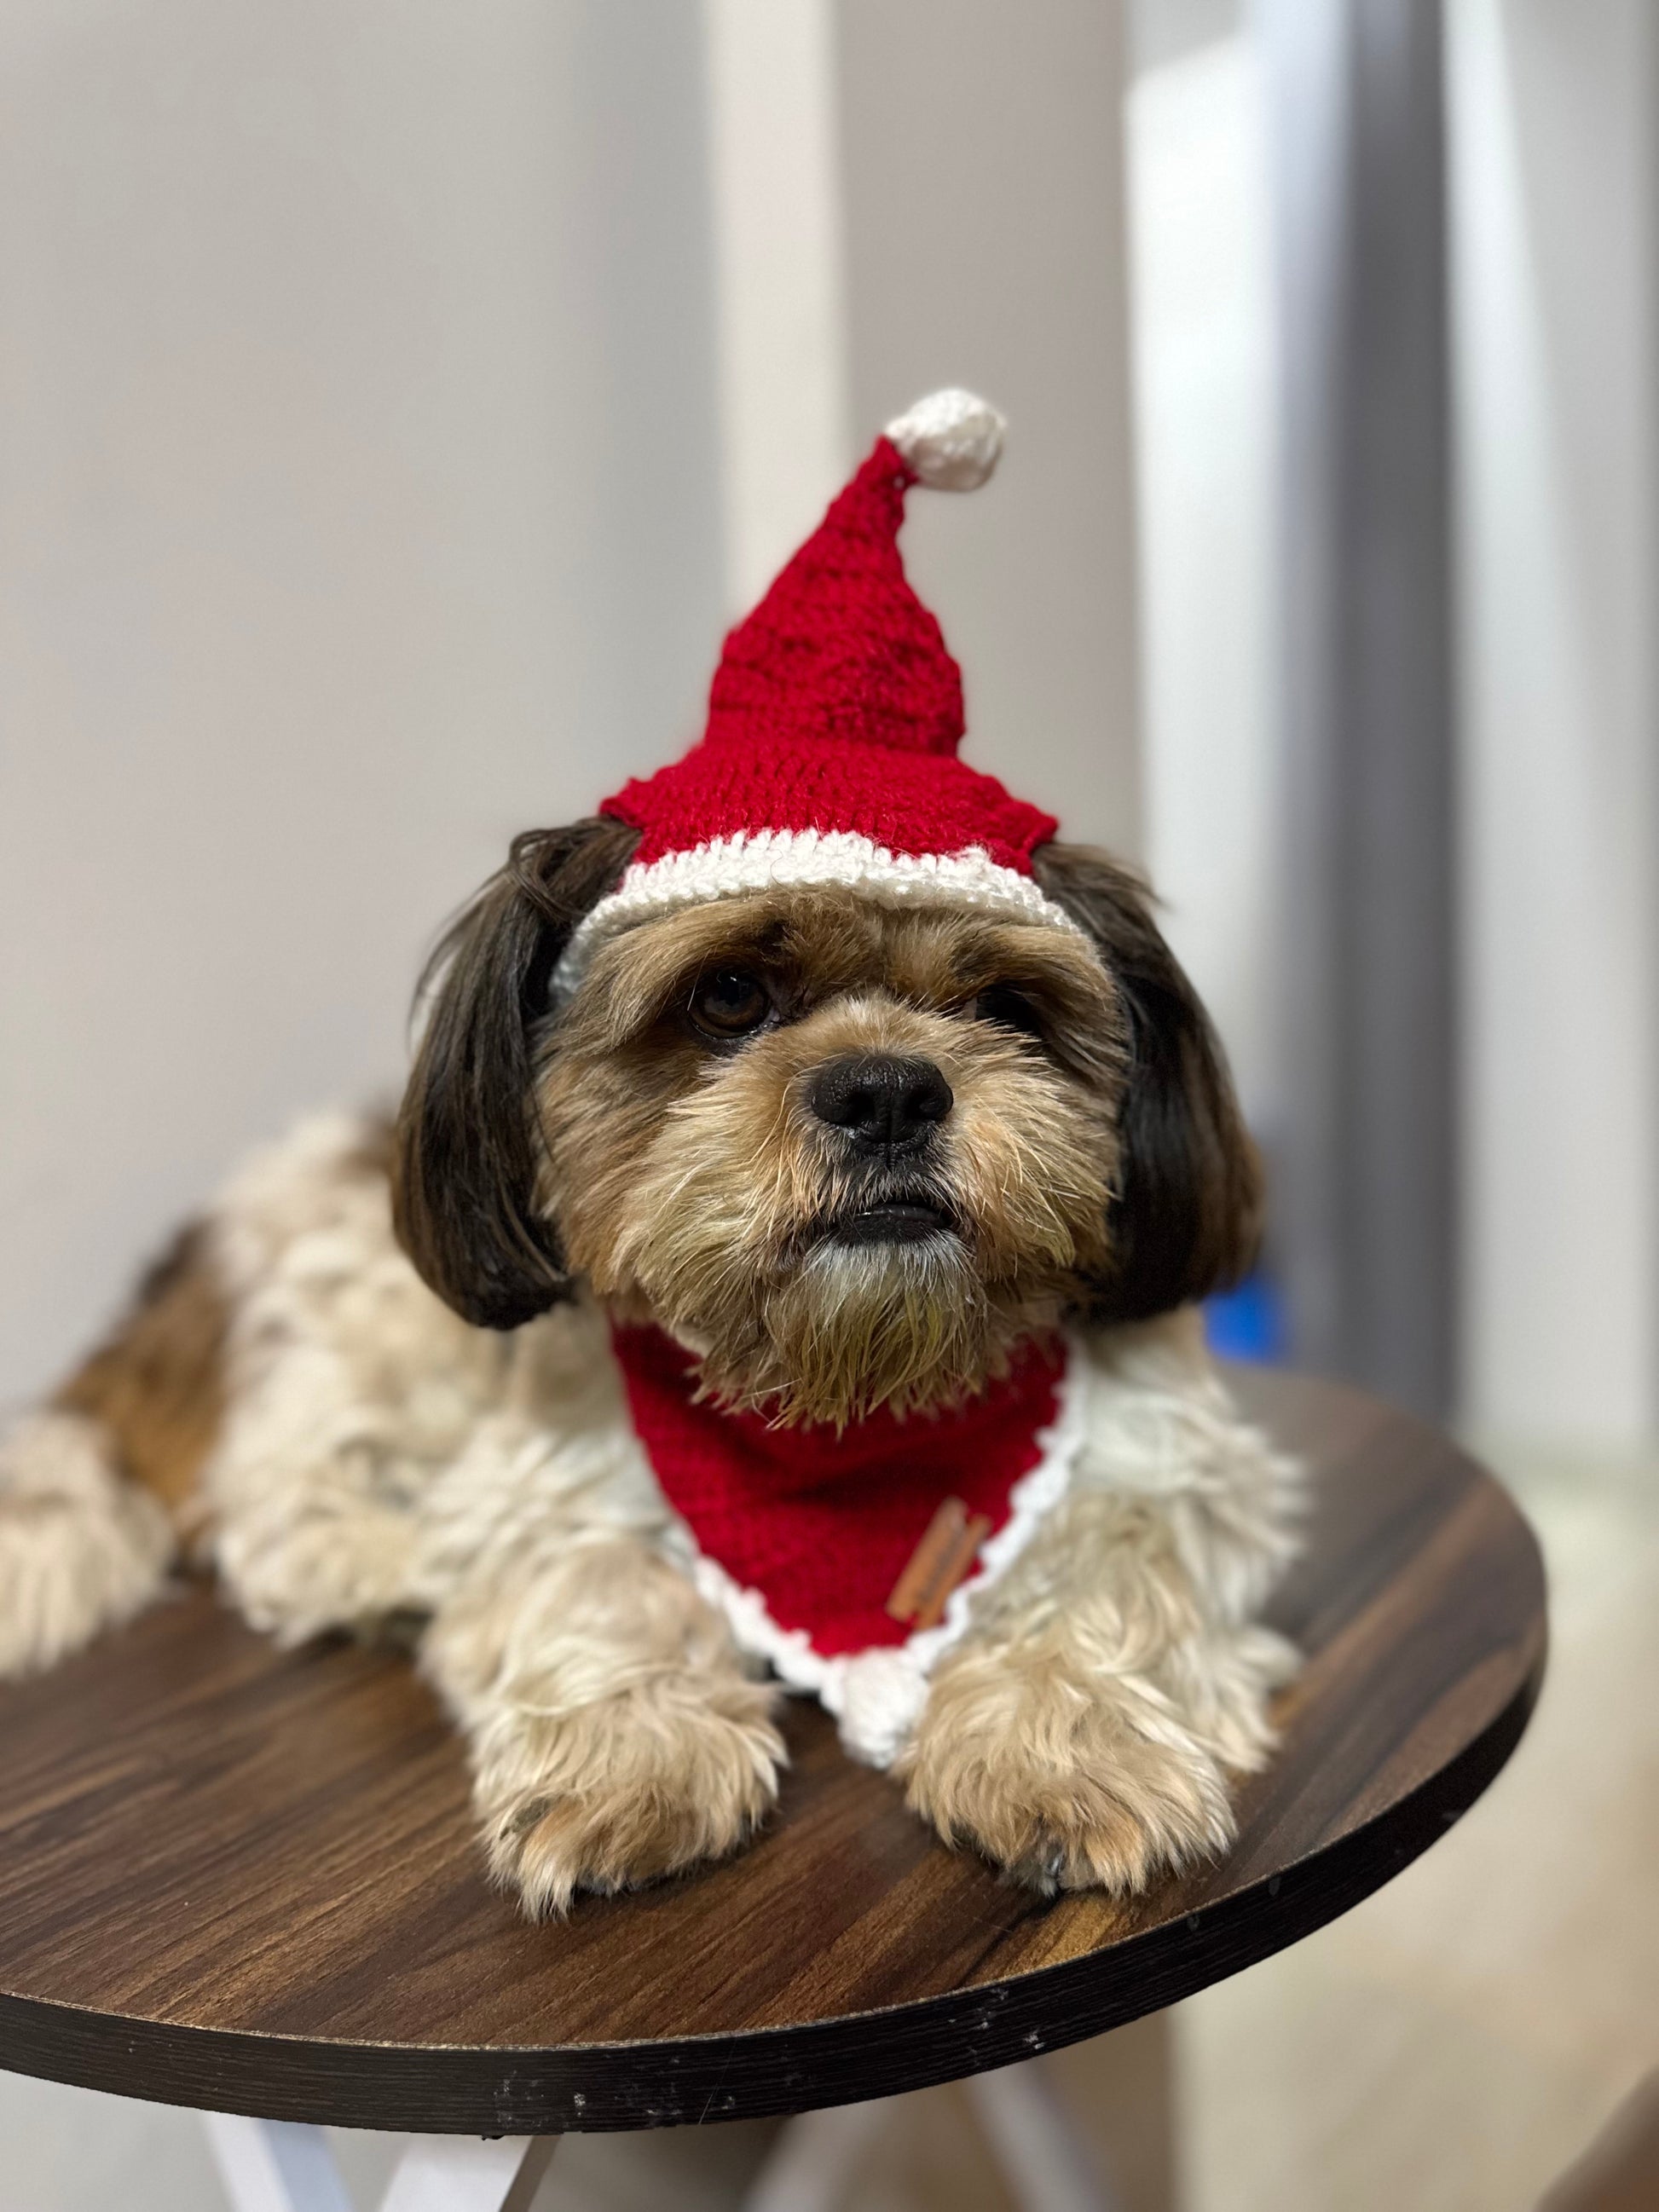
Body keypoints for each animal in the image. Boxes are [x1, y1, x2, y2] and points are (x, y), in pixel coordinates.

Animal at [0, 389, 1300, 1911]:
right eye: (727, 995)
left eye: (1002, 1005)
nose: (885, 1087)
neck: (841, 1411)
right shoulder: (556, 1458)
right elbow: (595, 1577)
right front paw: (632, 1743)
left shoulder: (1175, 1463)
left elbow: (1106, 1564)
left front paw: (1059, 1731)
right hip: (362, 1323)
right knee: (266, 1503)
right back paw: (385, 1556)